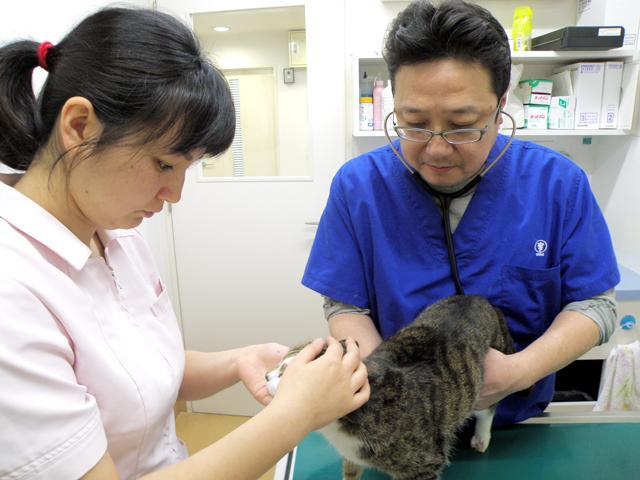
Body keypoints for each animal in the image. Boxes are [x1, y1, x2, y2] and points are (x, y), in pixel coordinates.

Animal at [264, 292, 516, 480]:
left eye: (285, 372)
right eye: (279, 364)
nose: (266, 376)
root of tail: (478, 298)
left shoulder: (424, 465)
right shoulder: (351, 457)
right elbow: (350, 472)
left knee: (488, 409)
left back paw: (482, 436)